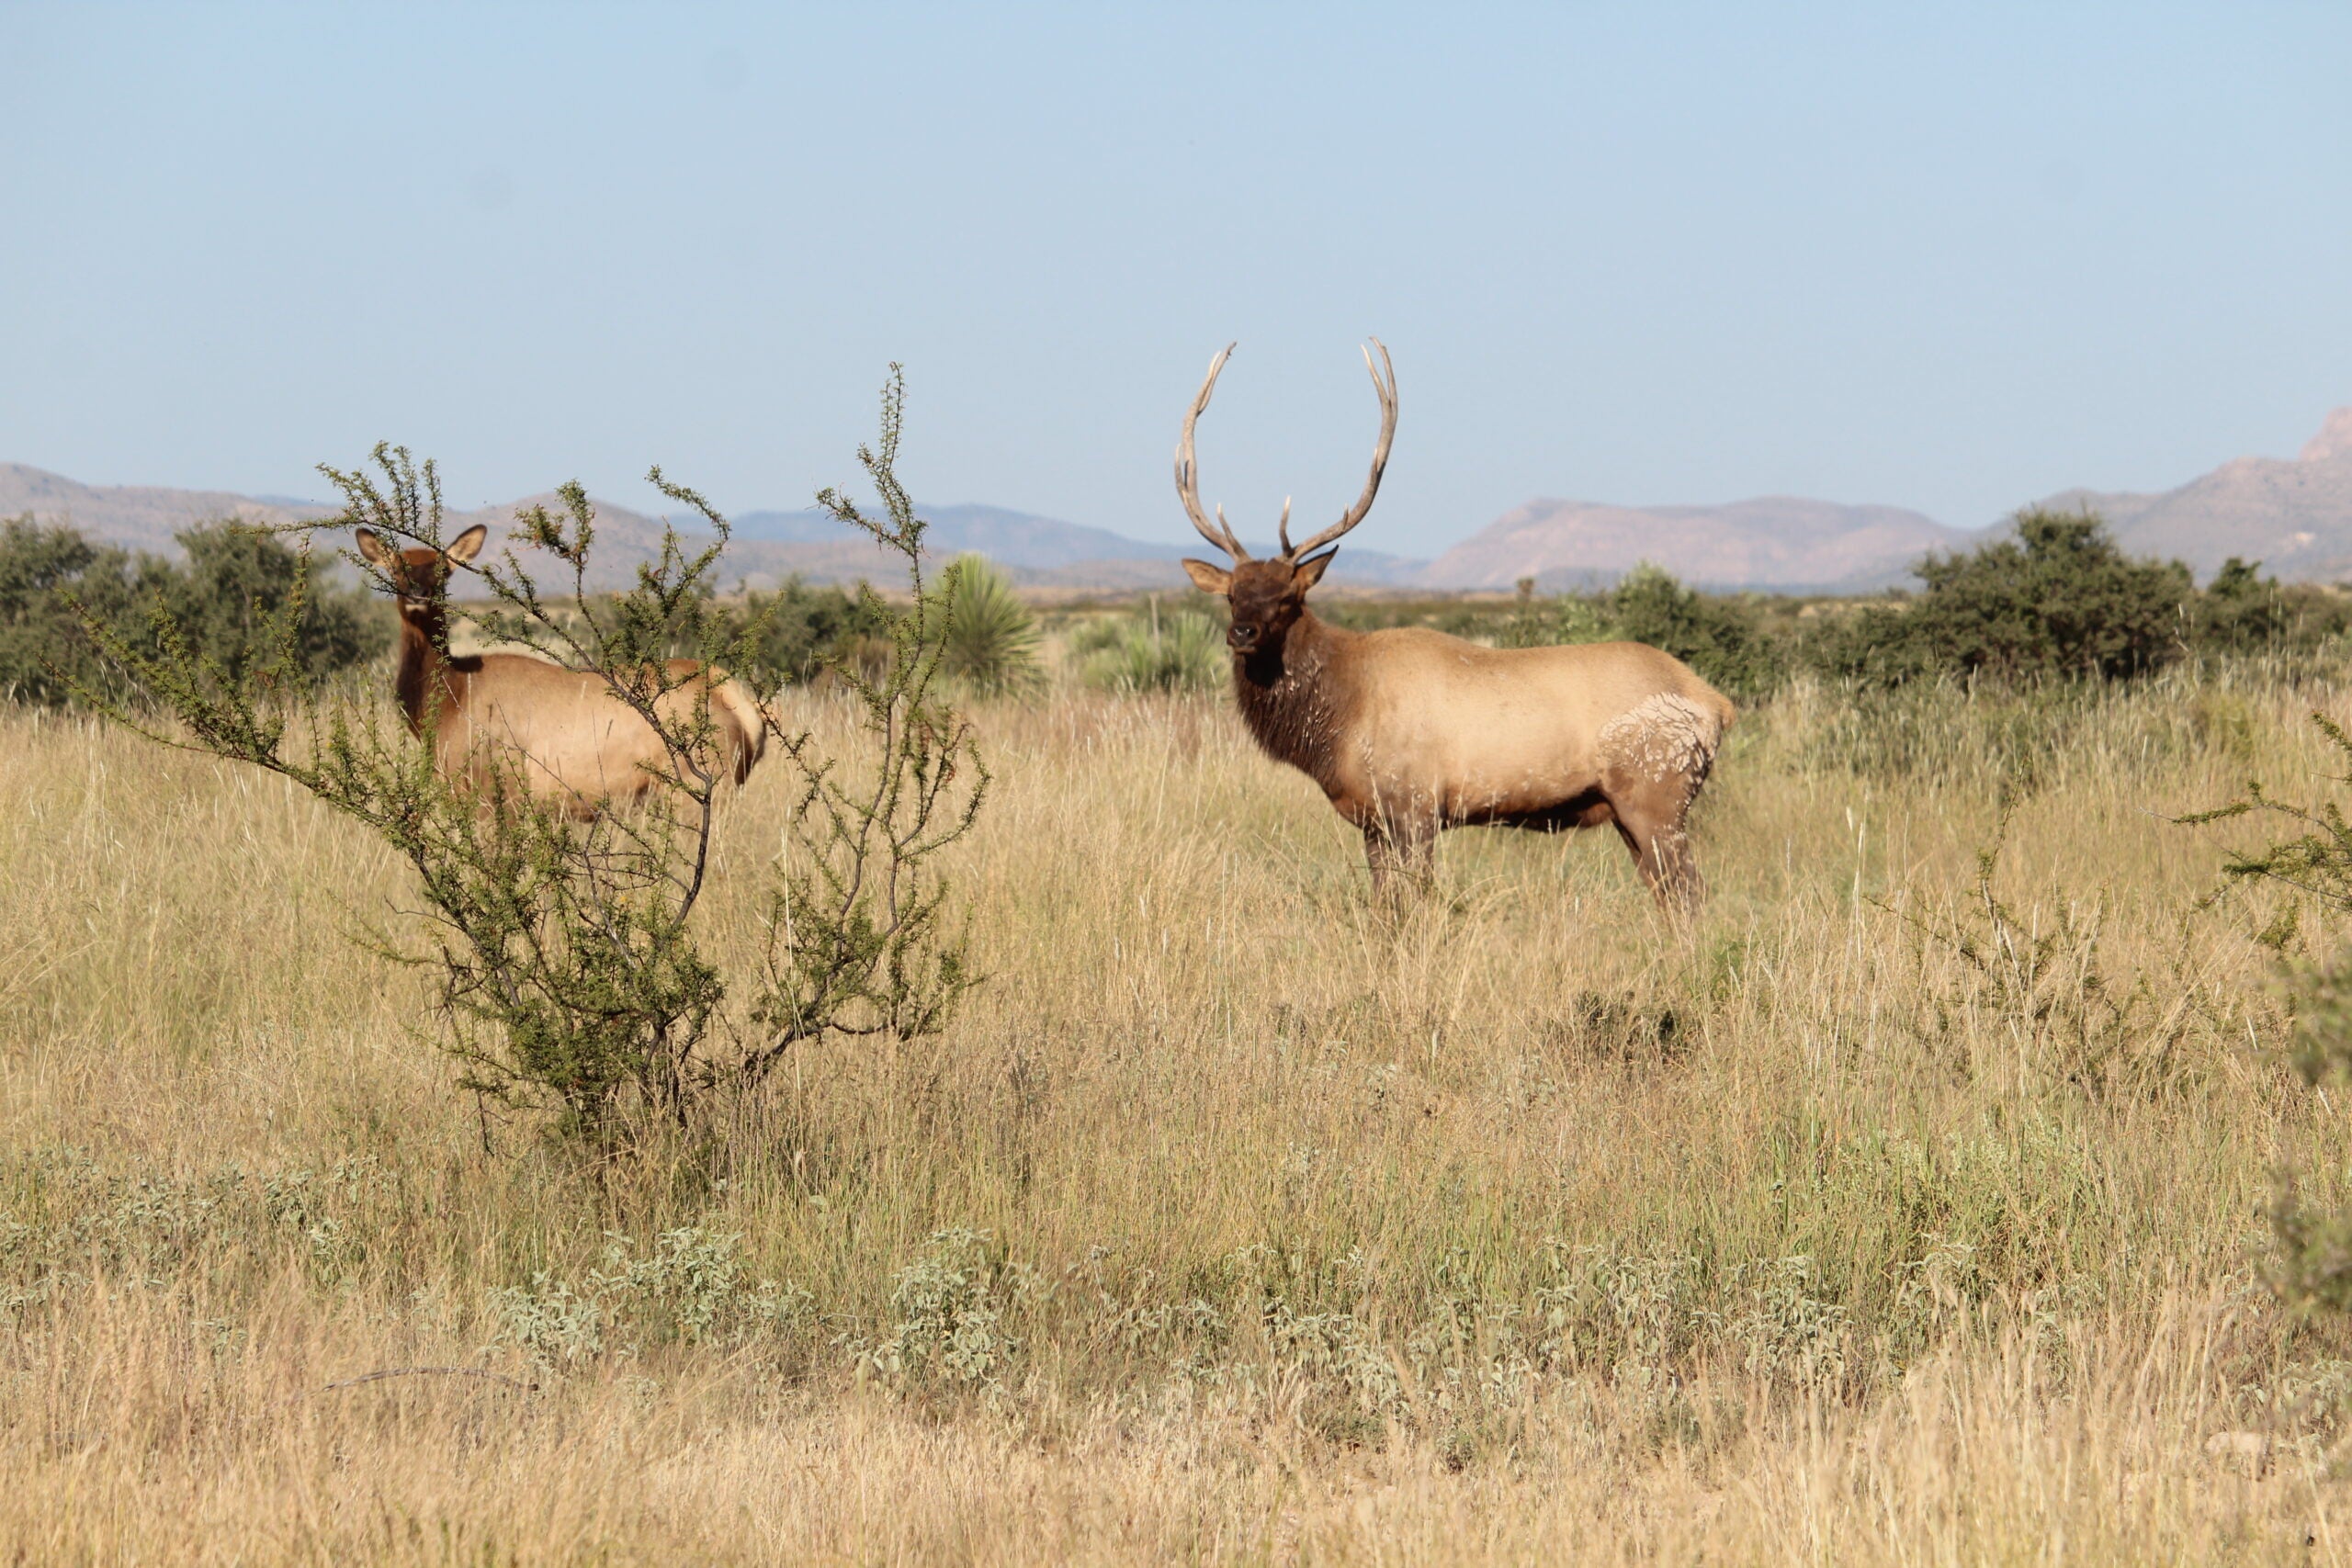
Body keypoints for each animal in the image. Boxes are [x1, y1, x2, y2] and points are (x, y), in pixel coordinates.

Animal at [354, 523, 766, 818]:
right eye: (397, 567)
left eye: (443, 570)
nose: (418, 594)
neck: (445, 705)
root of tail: (740, 706)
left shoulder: (493, 797)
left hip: (699, 789)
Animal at [1174, 341, 1736, 908]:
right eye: (1232, 595)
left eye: (1290, 597)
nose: (1242, 633)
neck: (1337, 725)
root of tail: (1716, 705)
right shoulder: (1374, 821)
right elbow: (1385, 904)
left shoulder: (1416, 804)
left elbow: (1413, 903)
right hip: (1630, 809)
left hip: (1657, 793)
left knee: (1690, 893)